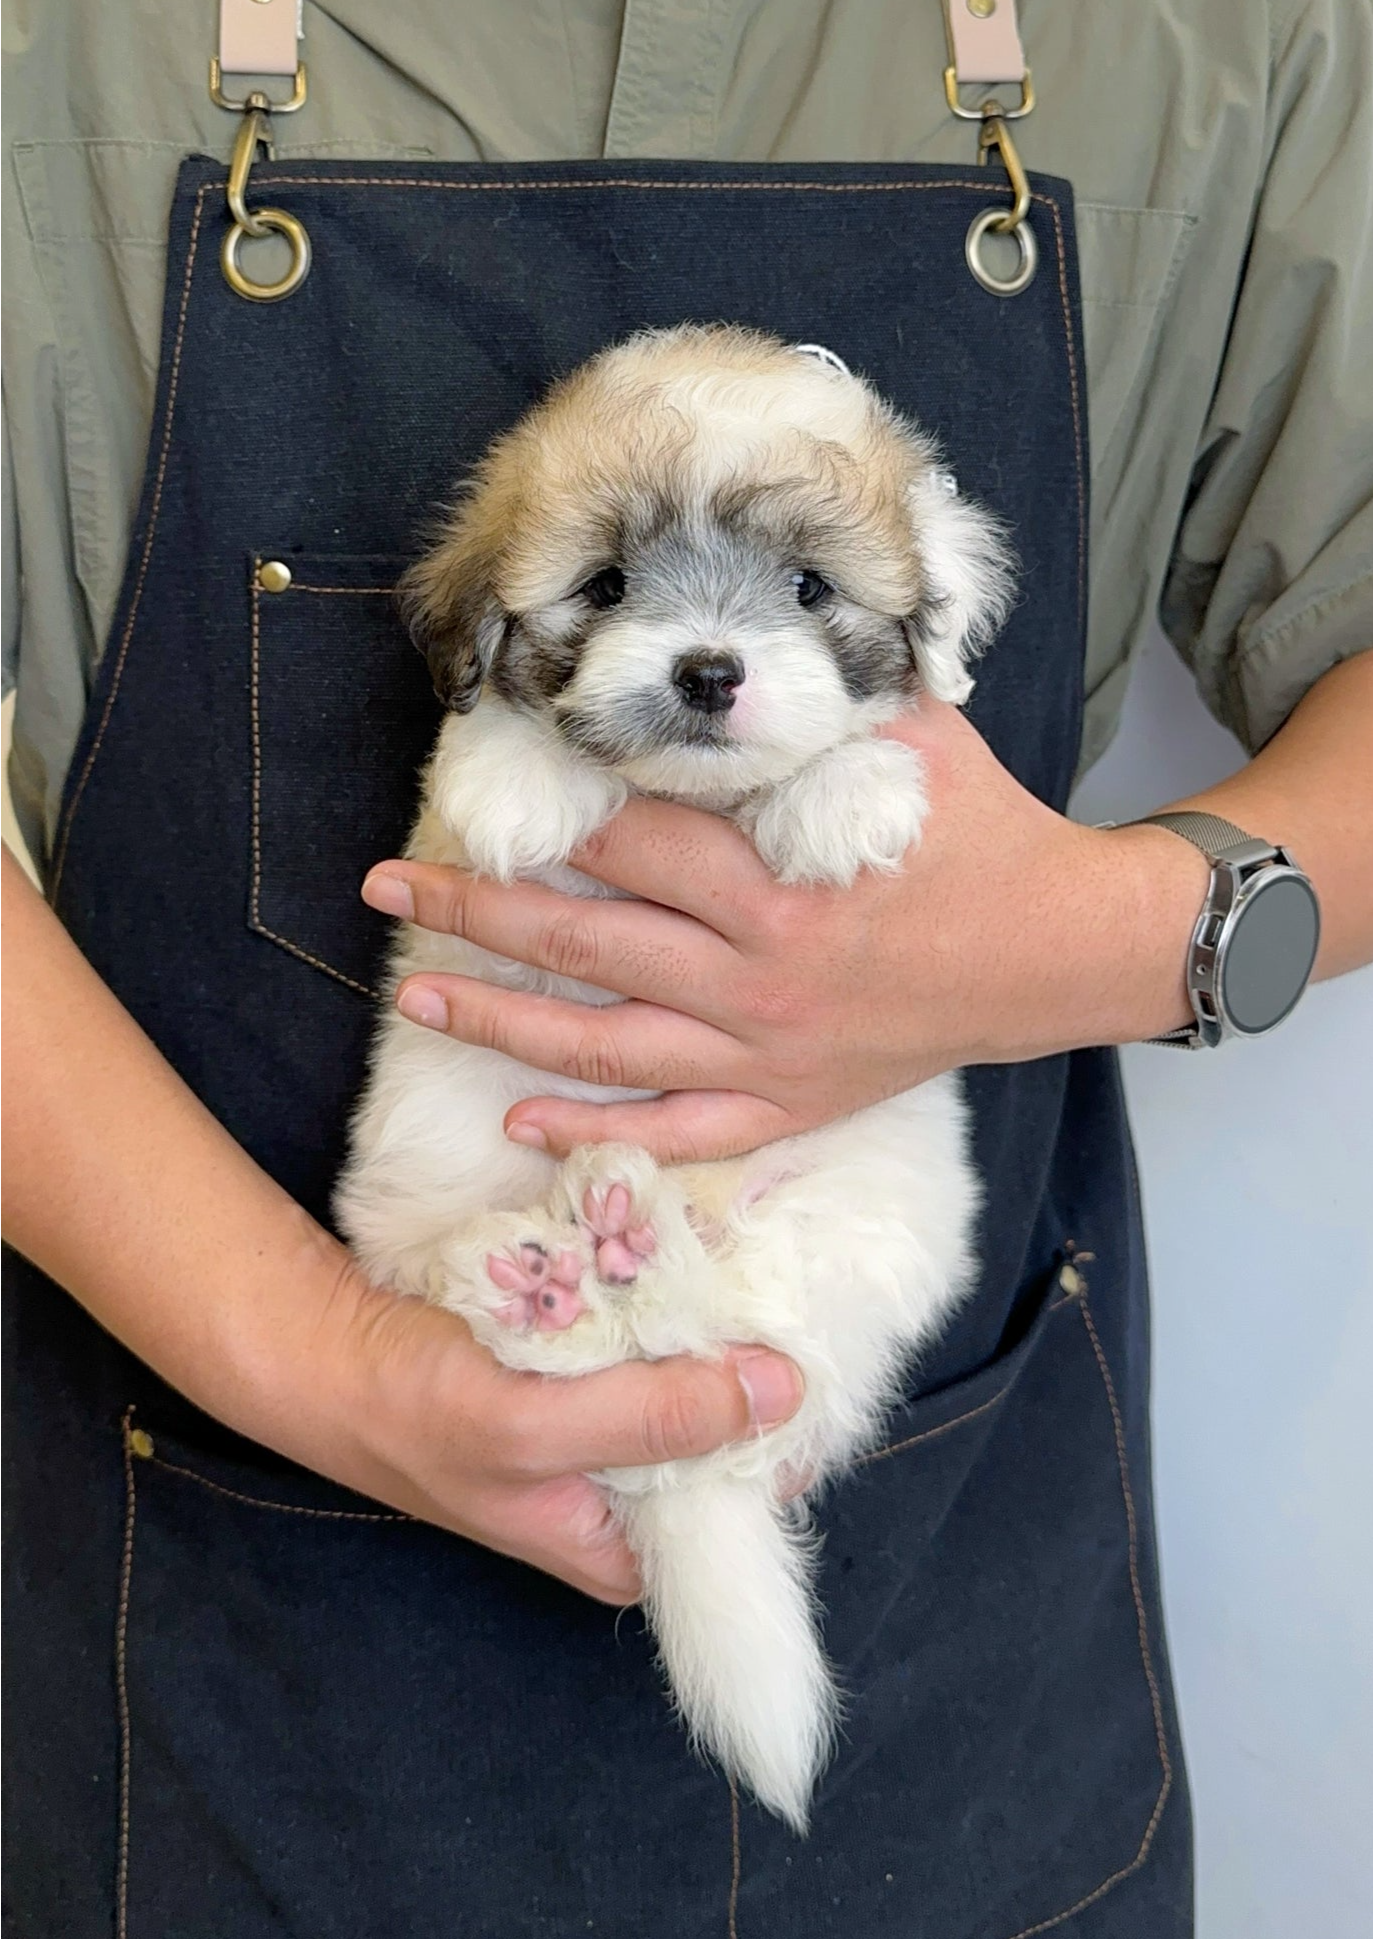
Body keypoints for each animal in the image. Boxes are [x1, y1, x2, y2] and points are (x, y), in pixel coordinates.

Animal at [337, 329, 1016, 1830]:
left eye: (810, 589)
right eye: (603, 586)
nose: (710, 669)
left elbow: (854, 750)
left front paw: (840, 793)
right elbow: (490, 751)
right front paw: (524, 777)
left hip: (852, 1229)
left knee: (742, 1351)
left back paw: (636, 1251)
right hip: (422, 1191)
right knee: (619, 1403)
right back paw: (549, 1283)